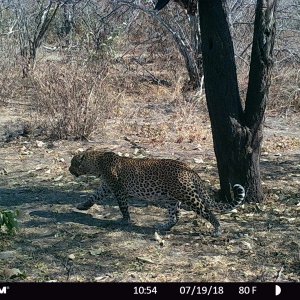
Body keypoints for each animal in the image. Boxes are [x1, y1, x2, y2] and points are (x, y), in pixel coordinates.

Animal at [69, 149, 245, 236]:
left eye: (73, 163)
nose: (69, 170)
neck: (96, 163)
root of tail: (189, 168)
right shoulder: (106, 187)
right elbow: (93, 196)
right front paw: (82, 206)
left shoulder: (118, 190)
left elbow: (123, 206)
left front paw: (125, 220)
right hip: (171, 199)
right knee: (175, 216)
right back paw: (162, 226)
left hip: (187, 195)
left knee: (206, 211)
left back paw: (217, 229)